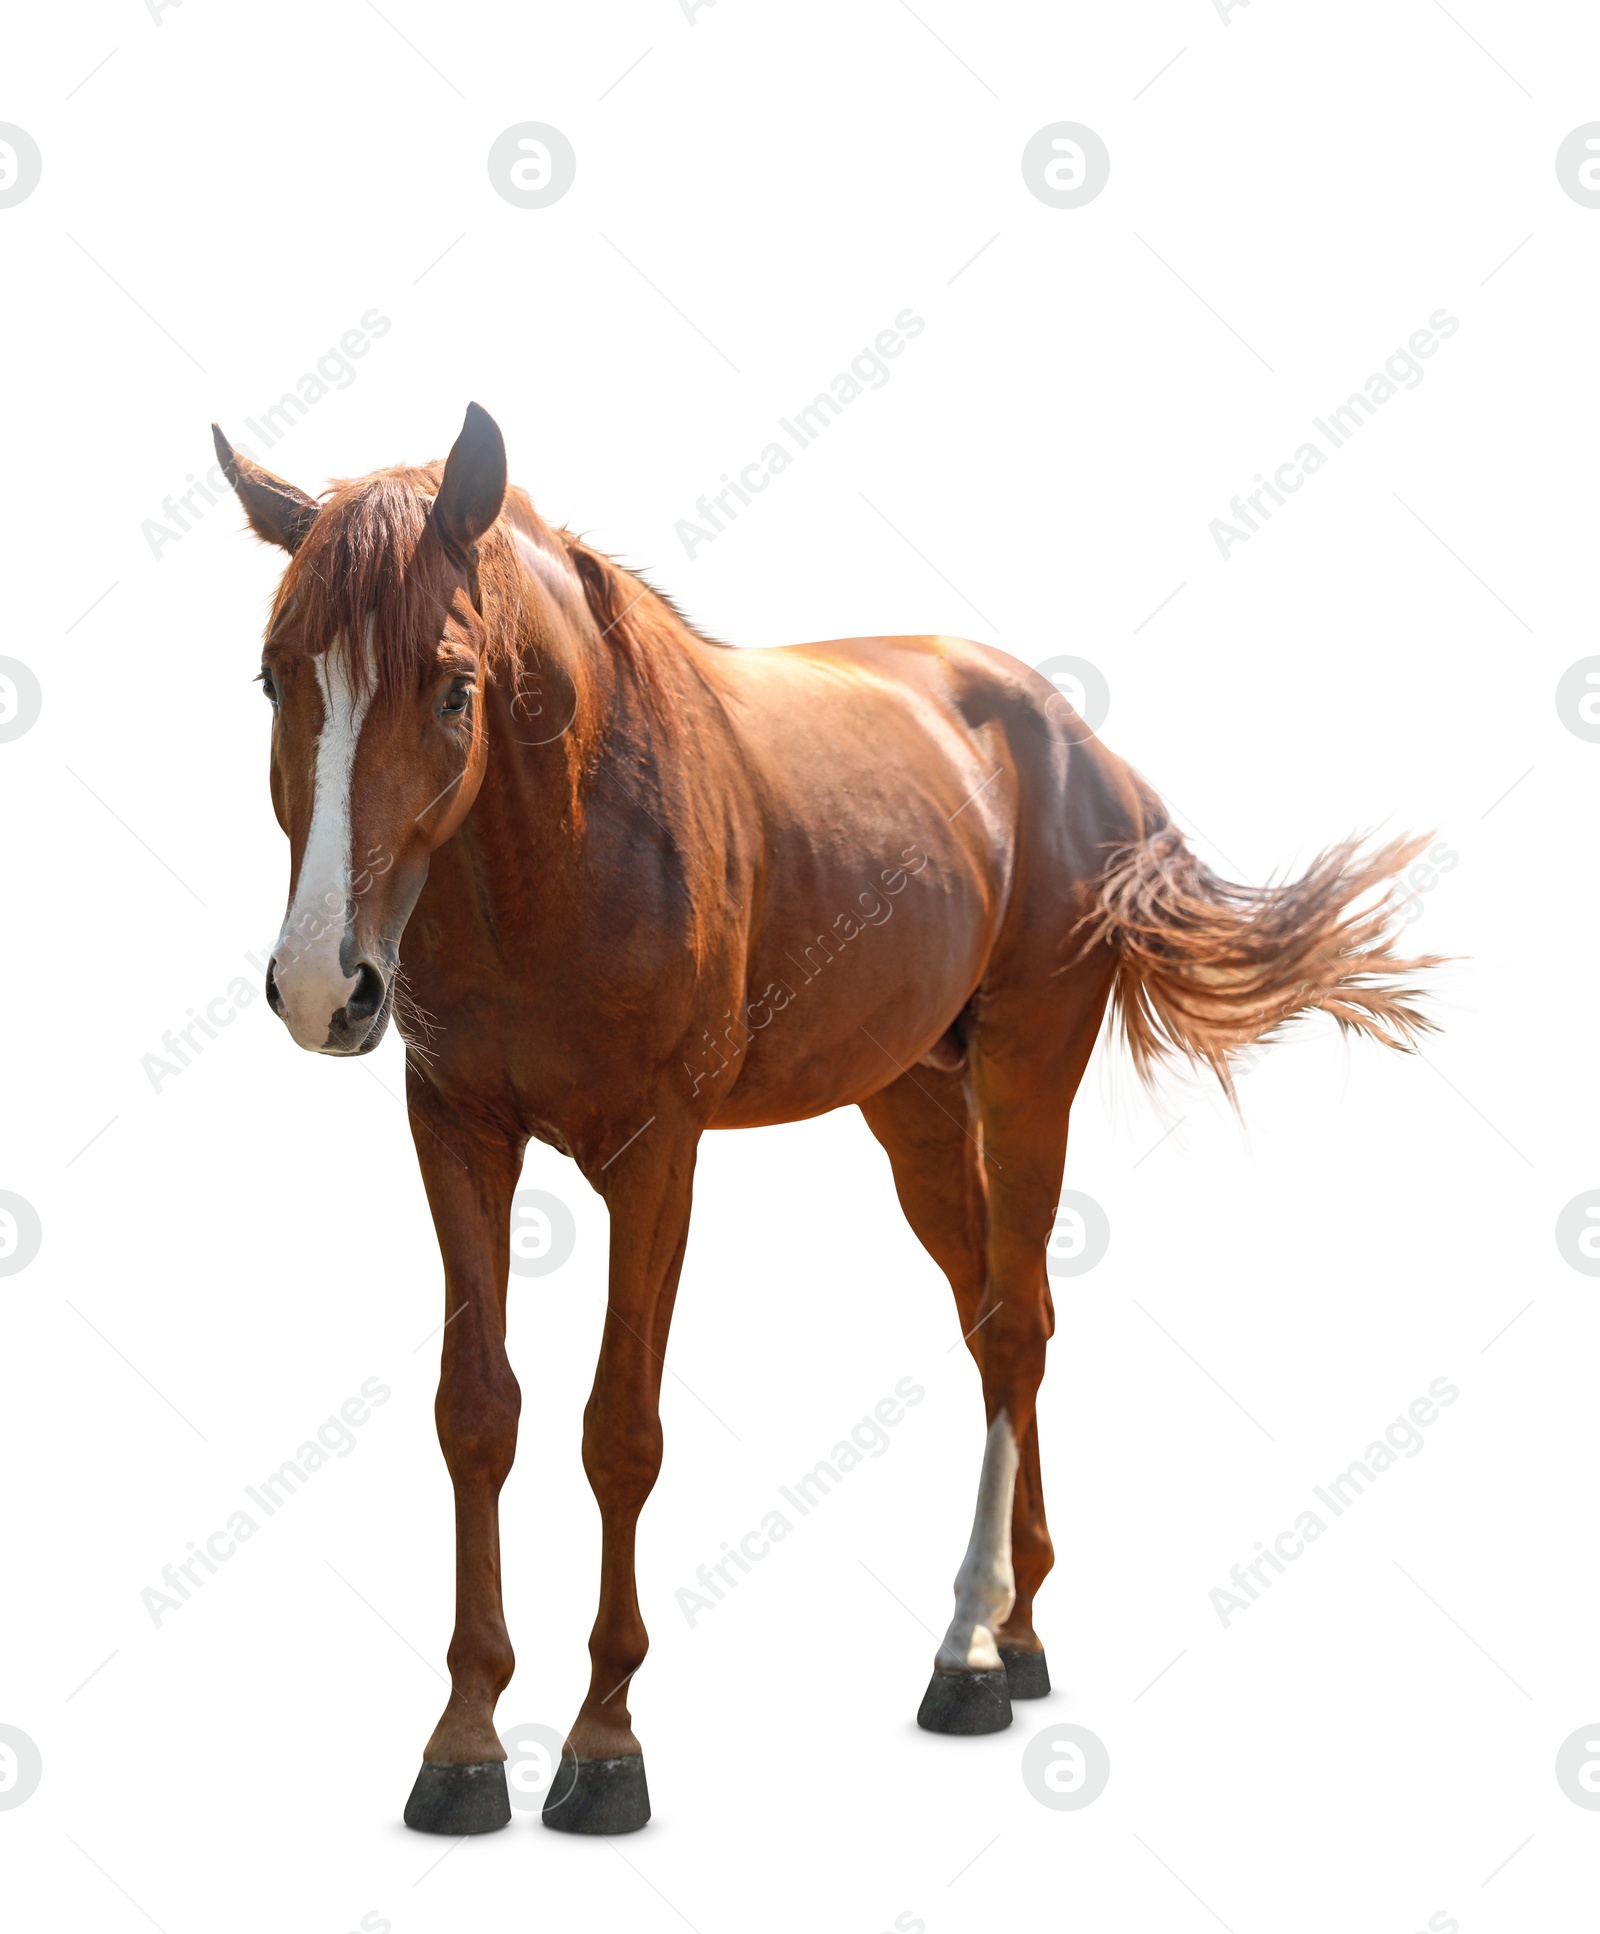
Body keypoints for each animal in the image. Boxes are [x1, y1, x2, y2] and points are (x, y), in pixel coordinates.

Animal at [215, 404, 1439, 1825]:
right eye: (275, 680)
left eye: (453, 686)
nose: (322, 983)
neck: (565, 843)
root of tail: (1084, 751)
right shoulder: (455, 1128)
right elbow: (477, 1415)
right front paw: (463, 1744)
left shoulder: (658, 1154)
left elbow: (619, 1429)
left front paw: (604, 1741)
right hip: (913, 1106)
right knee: (994, 1325)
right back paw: (1020, 1634)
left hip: (1027, 1070)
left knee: (1016, 1327)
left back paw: (968, 1653)